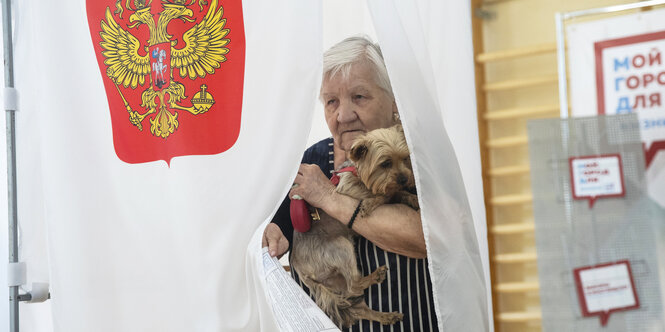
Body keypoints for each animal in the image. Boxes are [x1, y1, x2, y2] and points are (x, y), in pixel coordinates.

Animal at [290, 124, 416, 326]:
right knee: (354, 286)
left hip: (335, 281)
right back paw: (374, 276)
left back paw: (386, 316)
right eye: (385, 163)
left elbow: (396, 193)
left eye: (405, 158)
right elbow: (385, 195)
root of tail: (300, 268)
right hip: (340, 246)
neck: (358, 173)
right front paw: (370, 203)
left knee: (358, 305)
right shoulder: (352, 191)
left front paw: (412, 198)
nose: (405, 179)